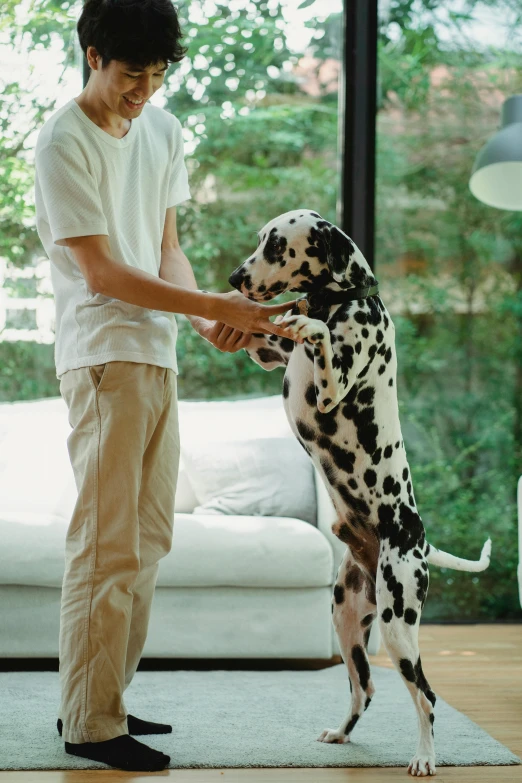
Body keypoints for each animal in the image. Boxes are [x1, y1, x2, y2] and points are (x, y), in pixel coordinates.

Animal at [229, 210, 492, 776]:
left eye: (277, 246)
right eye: (261, 239)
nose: (236, 278)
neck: (346, 300)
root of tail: (419, 540)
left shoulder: (330, 385)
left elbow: (321, 339)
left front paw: (310, 326)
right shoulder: (266, 352)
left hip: (398, 629)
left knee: (426, 698)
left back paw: (424, 757)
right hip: (348, 623)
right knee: (364, 690)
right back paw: (342, 734)